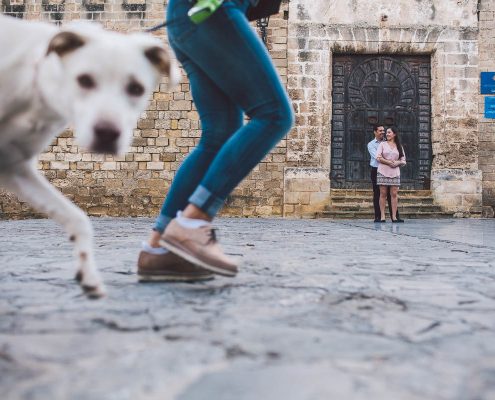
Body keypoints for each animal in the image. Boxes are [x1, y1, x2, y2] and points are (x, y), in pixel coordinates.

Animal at [0, 14, 181, 296]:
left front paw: (88, 275)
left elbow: (78, 218)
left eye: (136, 88)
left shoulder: (15, 166)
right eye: (84, 80)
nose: (107, 133)